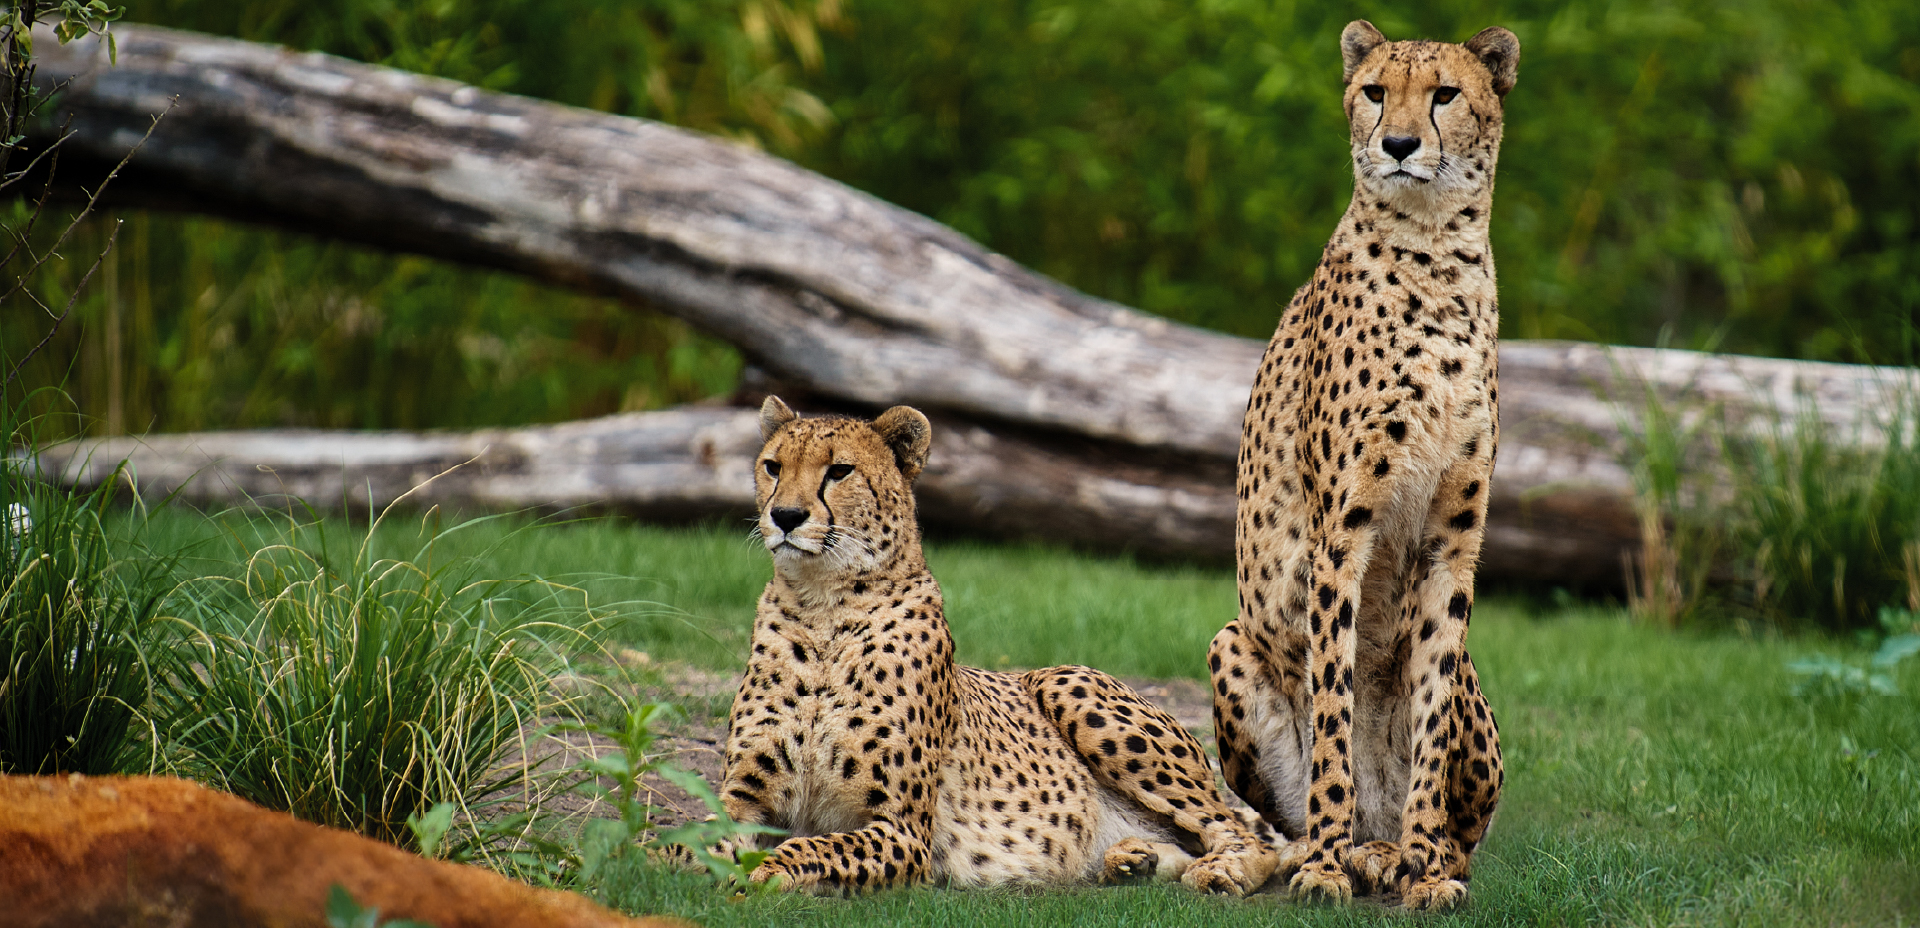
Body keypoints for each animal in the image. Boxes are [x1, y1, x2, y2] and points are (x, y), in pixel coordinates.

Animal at [716, 396, 1279, 896]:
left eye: (839, 471)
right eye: (772, 466)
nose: (785, 515)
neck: (824, 610)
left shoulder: (902, 829)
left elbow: (807, 846)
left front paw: (763, 872)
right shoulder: (742, 798)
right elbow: (705, 840)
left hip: (1068, 682)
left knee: (1244, 835)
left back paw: (1220, 870)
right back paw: (1131, 861)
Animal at [1207, 21, 1518, 911]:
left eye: (1445, 94)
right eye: (1376, 91)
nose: (1401, 144)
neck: (1436, 256)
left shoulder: (1454, 538)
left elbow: (1430, 711)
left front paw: (1424, 870)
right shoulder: (1338, 536)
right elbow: (1334, 709)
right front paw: (1322, 869)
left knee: (1464, 832)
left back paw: (1398, 854)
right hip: (1230, 640)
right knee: (1289, 812)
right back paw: (1308, 855)